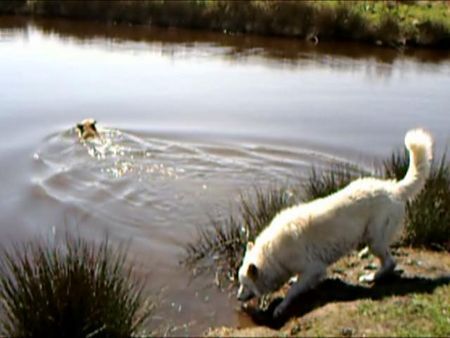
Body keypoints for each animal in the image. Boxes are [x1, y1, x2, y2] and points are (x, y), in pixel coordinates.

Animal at [239, 128, 432, 318]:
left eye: (245, 285)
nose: (237, 297)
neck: (272, 255)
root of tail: (393, 188)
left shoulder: (314, 268)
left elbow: (292, 291)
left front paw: (281, 307)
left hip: (375, 240)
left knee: (390, 263)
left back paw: (371, 277)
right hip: (373, 239)